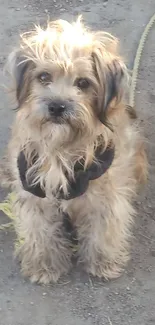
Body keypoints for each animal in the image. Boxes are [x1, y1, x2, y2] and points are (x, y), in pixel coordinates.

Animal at [2, 17, 148, 284]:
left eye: (83, 83)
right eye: (44, 76)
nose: (57, 106)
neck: (62, 147)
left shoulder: (107, 194)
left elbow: (103, 228)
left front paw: (102, 261)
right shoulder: (34, 192)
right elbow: (40, 230)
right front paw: (44, 264)